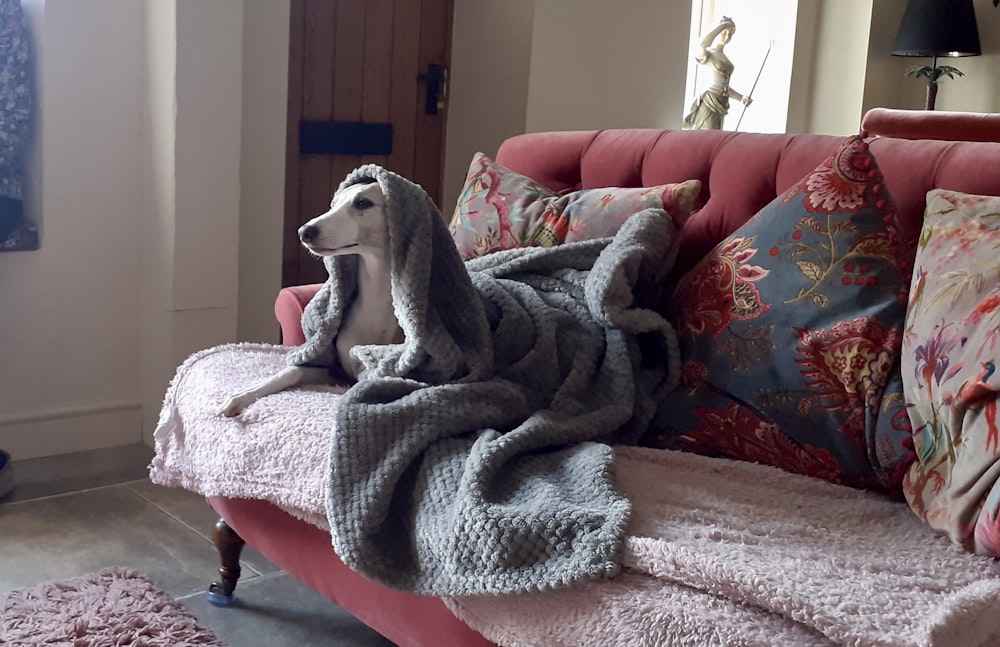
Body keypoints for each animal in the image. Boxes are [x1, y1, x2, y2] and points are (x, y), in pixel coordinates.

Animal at [219, 180, 402, 418]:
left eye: (363, 202)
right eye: (333, 204)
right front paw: (242, 395)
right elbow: (292, 371)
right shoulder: (338, 371)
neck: (377, 302)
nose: (304, 231)